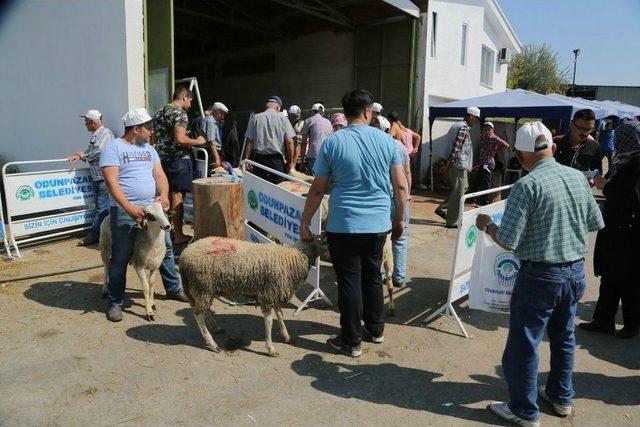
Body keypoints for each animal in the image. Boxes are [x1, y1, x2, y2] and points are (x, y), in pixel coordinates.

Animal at [180, 237, 328, 358]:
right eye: (321, 241)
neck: (293, 257)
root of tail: (184, 256)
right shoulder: (267, 294)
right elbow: (269, 321)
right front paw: (270, 348)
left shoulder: (274, 293)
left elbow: (280, 314)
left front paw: (286, 336)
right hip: (202, 286)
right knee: (198, 314)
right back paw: (211, 343)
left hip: (206, 290)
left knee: (205, 310)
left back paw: (216, 328)